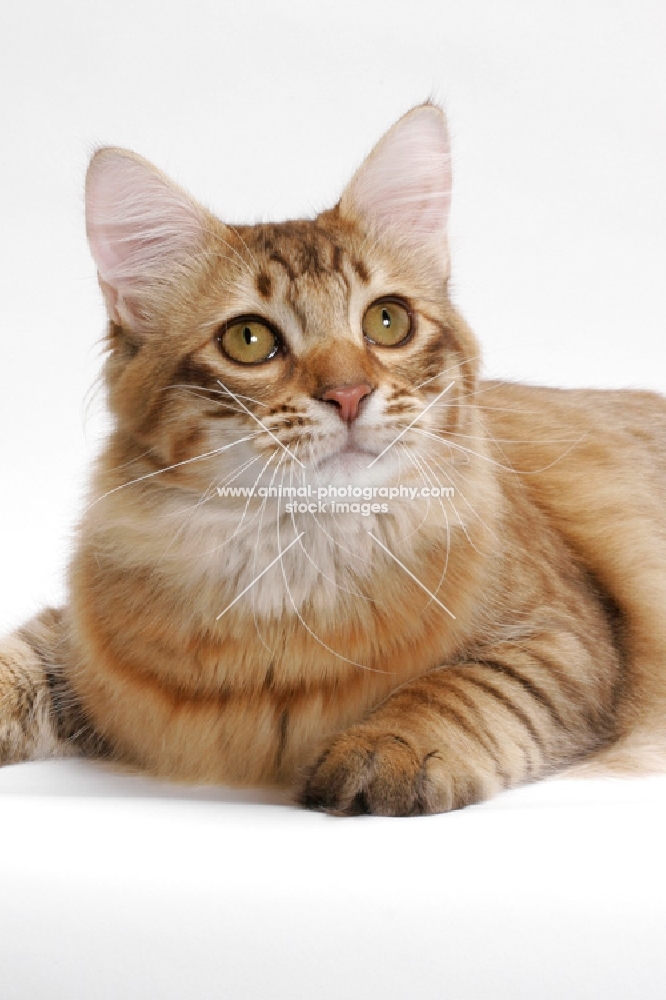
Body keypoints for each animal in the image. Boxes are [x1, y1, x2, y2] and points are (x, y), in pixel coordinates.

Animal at [1, 105, 664, 816]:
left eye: (387, 322)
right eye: (249, 339)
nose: (349, 394)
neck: (296, 560)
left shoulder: (567, 636)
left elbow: (461, 688)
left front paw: (390, 748)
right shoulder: (76, 644)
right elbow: (15, 661)